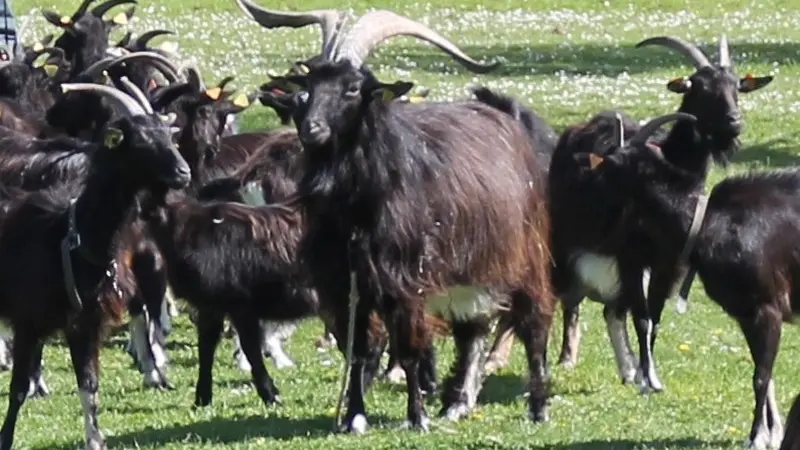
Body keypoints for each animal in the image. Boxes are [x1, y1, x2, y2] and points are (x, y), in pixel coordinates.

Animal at [0, 81, 189, 450]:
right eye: (141, 141)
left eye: (169, 135)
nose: (183, 172)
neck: (70, 236)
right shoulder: (28, 321)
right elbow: (17, 390)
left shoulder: (85, 324)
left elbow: (89, 387)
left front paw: (95, 440)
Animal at [266, 8, 552, 432]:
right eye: (309, 85)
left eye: (353, 88)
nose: (311, 128)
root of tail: (507, 117)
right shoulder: (346, 283)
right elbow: (358, 349)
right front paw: (354, 417)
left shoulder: (405, 280)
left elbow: (410, 348)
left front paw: (417, 418)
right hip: (469, 268)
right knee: (473, 327)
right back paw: (457, 403)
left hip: (523, 253)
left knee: (534, 321)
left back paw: (538, 407)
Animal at [576, 110, 800, 450]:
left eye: (613, 163)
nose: (585, 188)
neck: (708, 222)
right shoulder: (746, 315)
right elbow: (766, 372)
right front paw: (769, 433)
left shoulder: (766, 308)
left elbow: (761, 376)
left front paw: (756, 437)